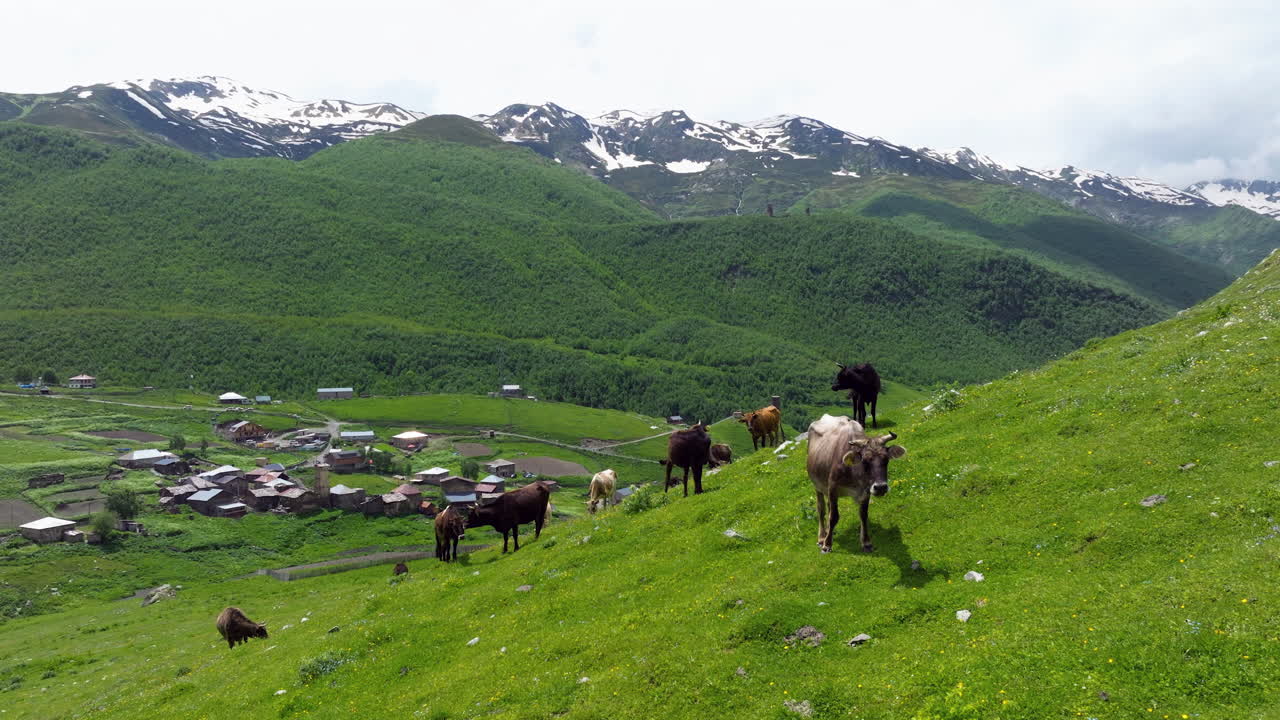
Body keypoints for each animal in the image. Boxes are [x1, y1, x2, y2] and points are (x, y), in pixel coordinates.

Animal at [805, 414, 905, 553]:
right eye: (865, 461)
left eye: (886, 460)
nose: (881, 487)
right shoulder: (832, 487)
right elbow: (833, 516)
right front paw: (827, 544)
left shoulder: (866, 490)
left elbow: (863, 515)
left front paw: (866, 542)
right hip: (817, 485)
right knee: (821, 509)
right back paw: (821, 537)